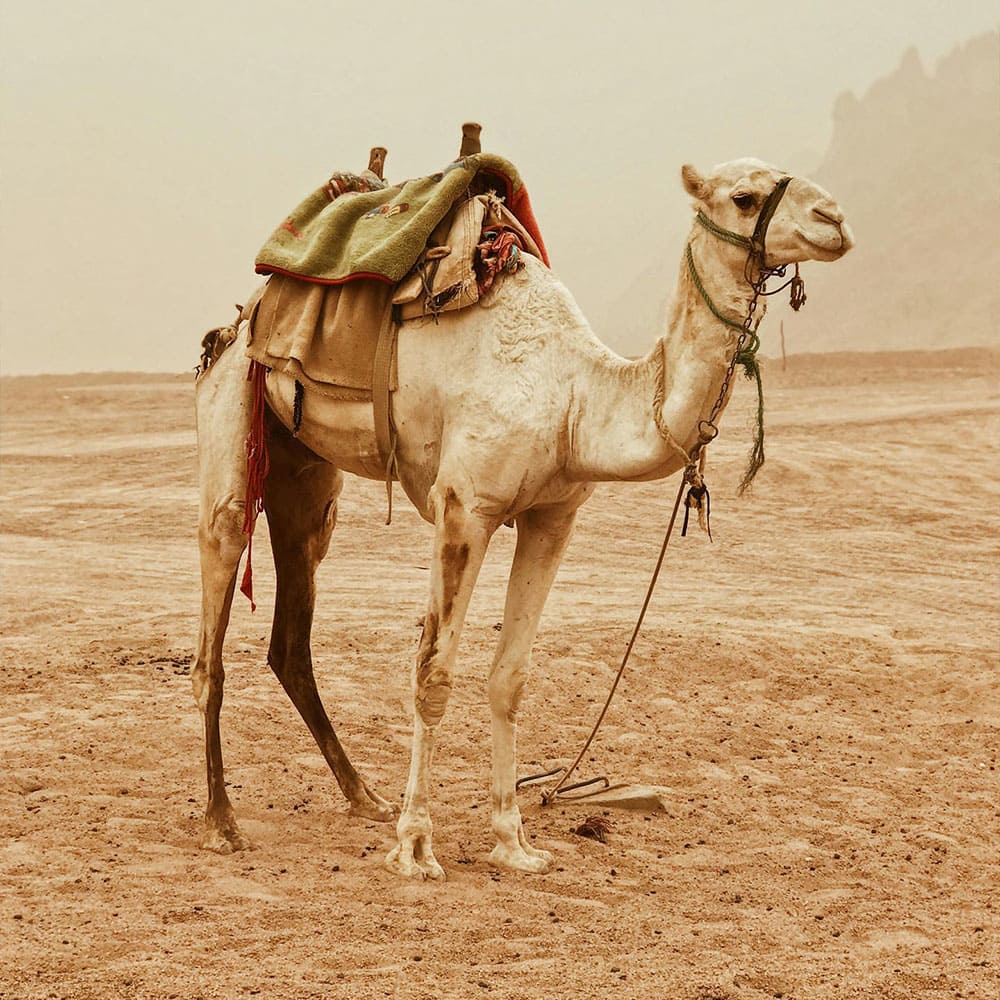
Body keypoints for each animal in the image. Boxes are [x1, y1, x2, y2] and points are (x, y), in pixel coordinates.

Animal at [193, 154, 852, 876]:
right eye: (743, 196)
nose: (835, 220)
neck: (574, 399)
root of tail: (240, 319)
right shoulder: (465, 507)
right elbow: (432, 675)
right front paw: (416, 846)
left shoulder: (552, 517)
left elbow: (509, 677)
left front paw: (513, 841)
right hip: (232, 413)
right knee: (213, 621)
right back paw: (223, 822)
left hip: (306, 474)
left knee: (292, 630)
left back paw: (363, 795)